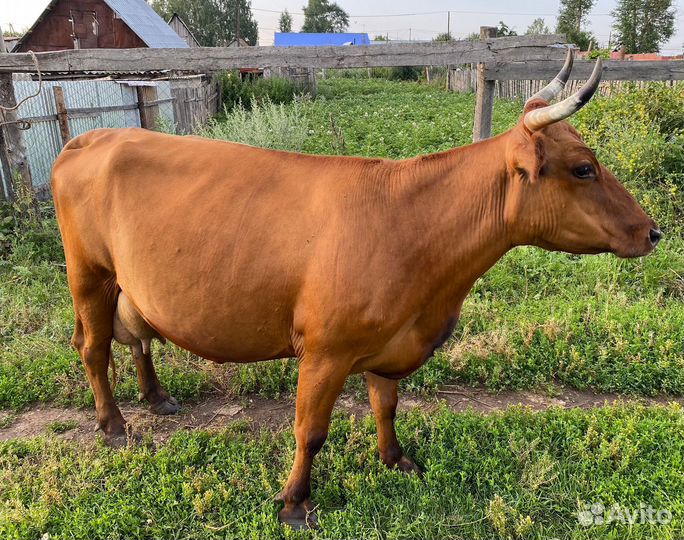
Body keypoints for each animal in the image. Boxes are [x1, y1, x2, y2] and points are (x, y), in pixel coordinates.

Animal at [51, 52, 660, 529]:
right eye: (583, 168)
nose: (653, 231)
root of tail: (93, 135)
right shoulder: (326, 350)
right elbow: (311, 430)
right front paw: (294, 504)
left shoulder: (388, 341)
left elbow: (386, 406)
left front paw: (396, 460)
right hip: (88, 272)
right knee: (93, 347)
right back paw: (113, 425)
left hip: (129, 283)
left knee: (138, 338)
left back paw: (156, 397)